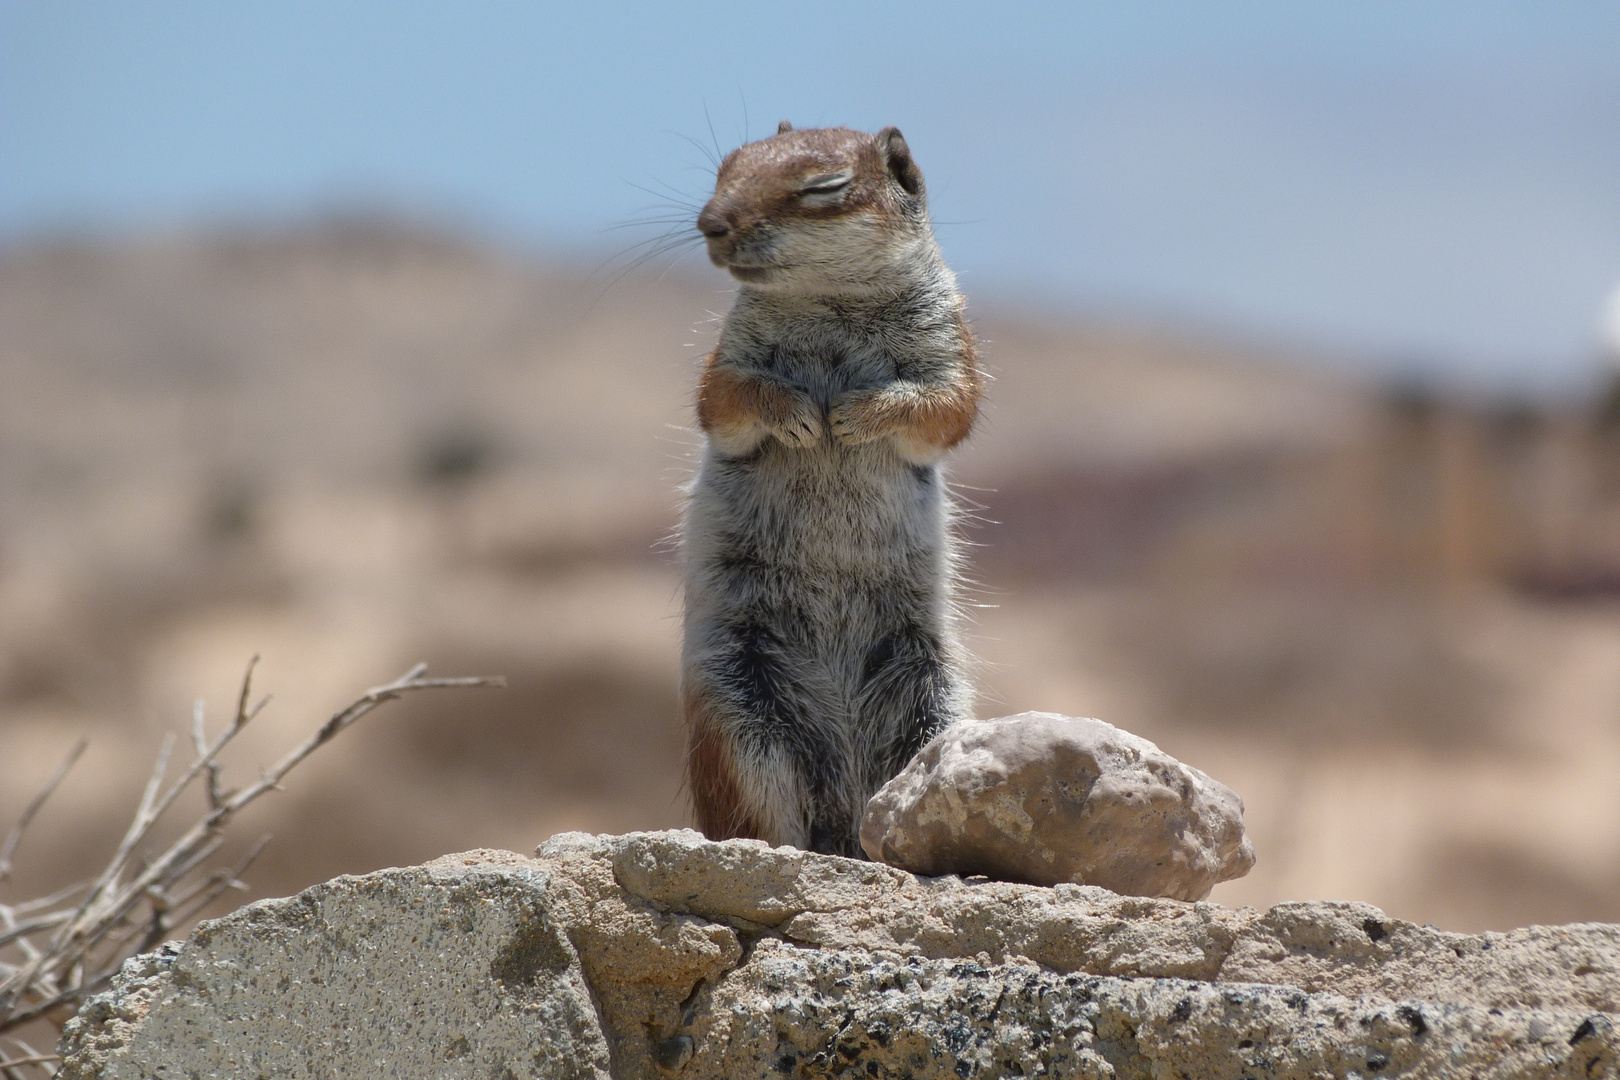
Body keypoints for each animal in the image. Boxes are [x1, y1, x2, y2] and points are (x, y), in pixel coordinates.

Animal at [677, 122, 978, 854]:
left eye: (824, 187)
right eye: (726, 168)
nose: (710, 222)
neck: (829, 300)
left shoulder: (951, 346)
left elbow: (944, 407)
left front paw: (855, 414)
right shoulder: (727, 361)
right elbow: (725, 400)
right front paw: (801, 416)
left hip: (933, 700)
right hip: (738, 714)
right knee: (758, 812)